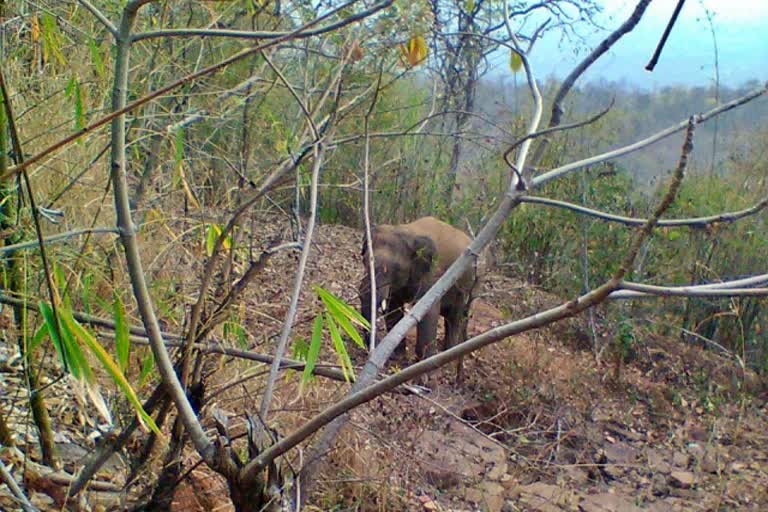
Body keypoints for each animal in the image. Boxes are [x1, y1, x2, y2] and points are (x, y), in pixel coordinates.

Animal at [356, 216, 476, 360]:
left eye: (397, 269)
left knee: (455, 317)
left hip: (467, 286)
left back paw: (449, 352)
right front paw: (397, 356)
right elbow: (393, 306)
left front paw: (426, 360)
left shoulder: (433, 275)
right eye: (364, 260)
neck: (407, 230)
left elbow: (428, 311)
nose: (372, 350)